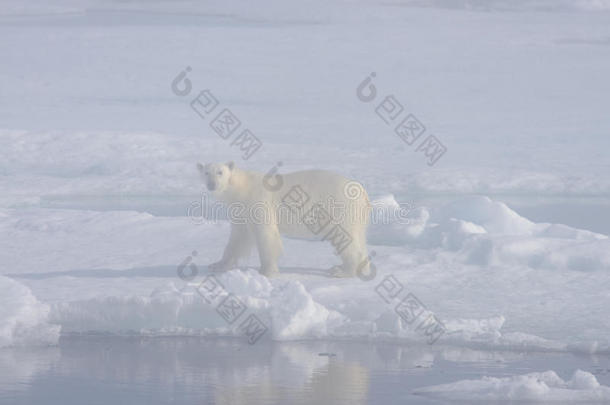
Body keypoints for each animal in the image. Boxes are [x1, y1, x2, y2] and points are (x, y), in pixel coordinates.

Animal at [200, 161, 370, 278]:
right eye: (206, 172)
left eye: (220, 172)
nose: (211, 184)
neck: (243, 188)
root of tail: (363, 192)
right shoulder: (241, 211)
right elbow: (238, 239)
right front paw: (217, 265)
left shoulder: (258, 202)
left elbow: (267, 236)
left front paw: (267, 271)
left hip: (338, 207)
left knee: (343, 236)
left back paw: (342, 270)